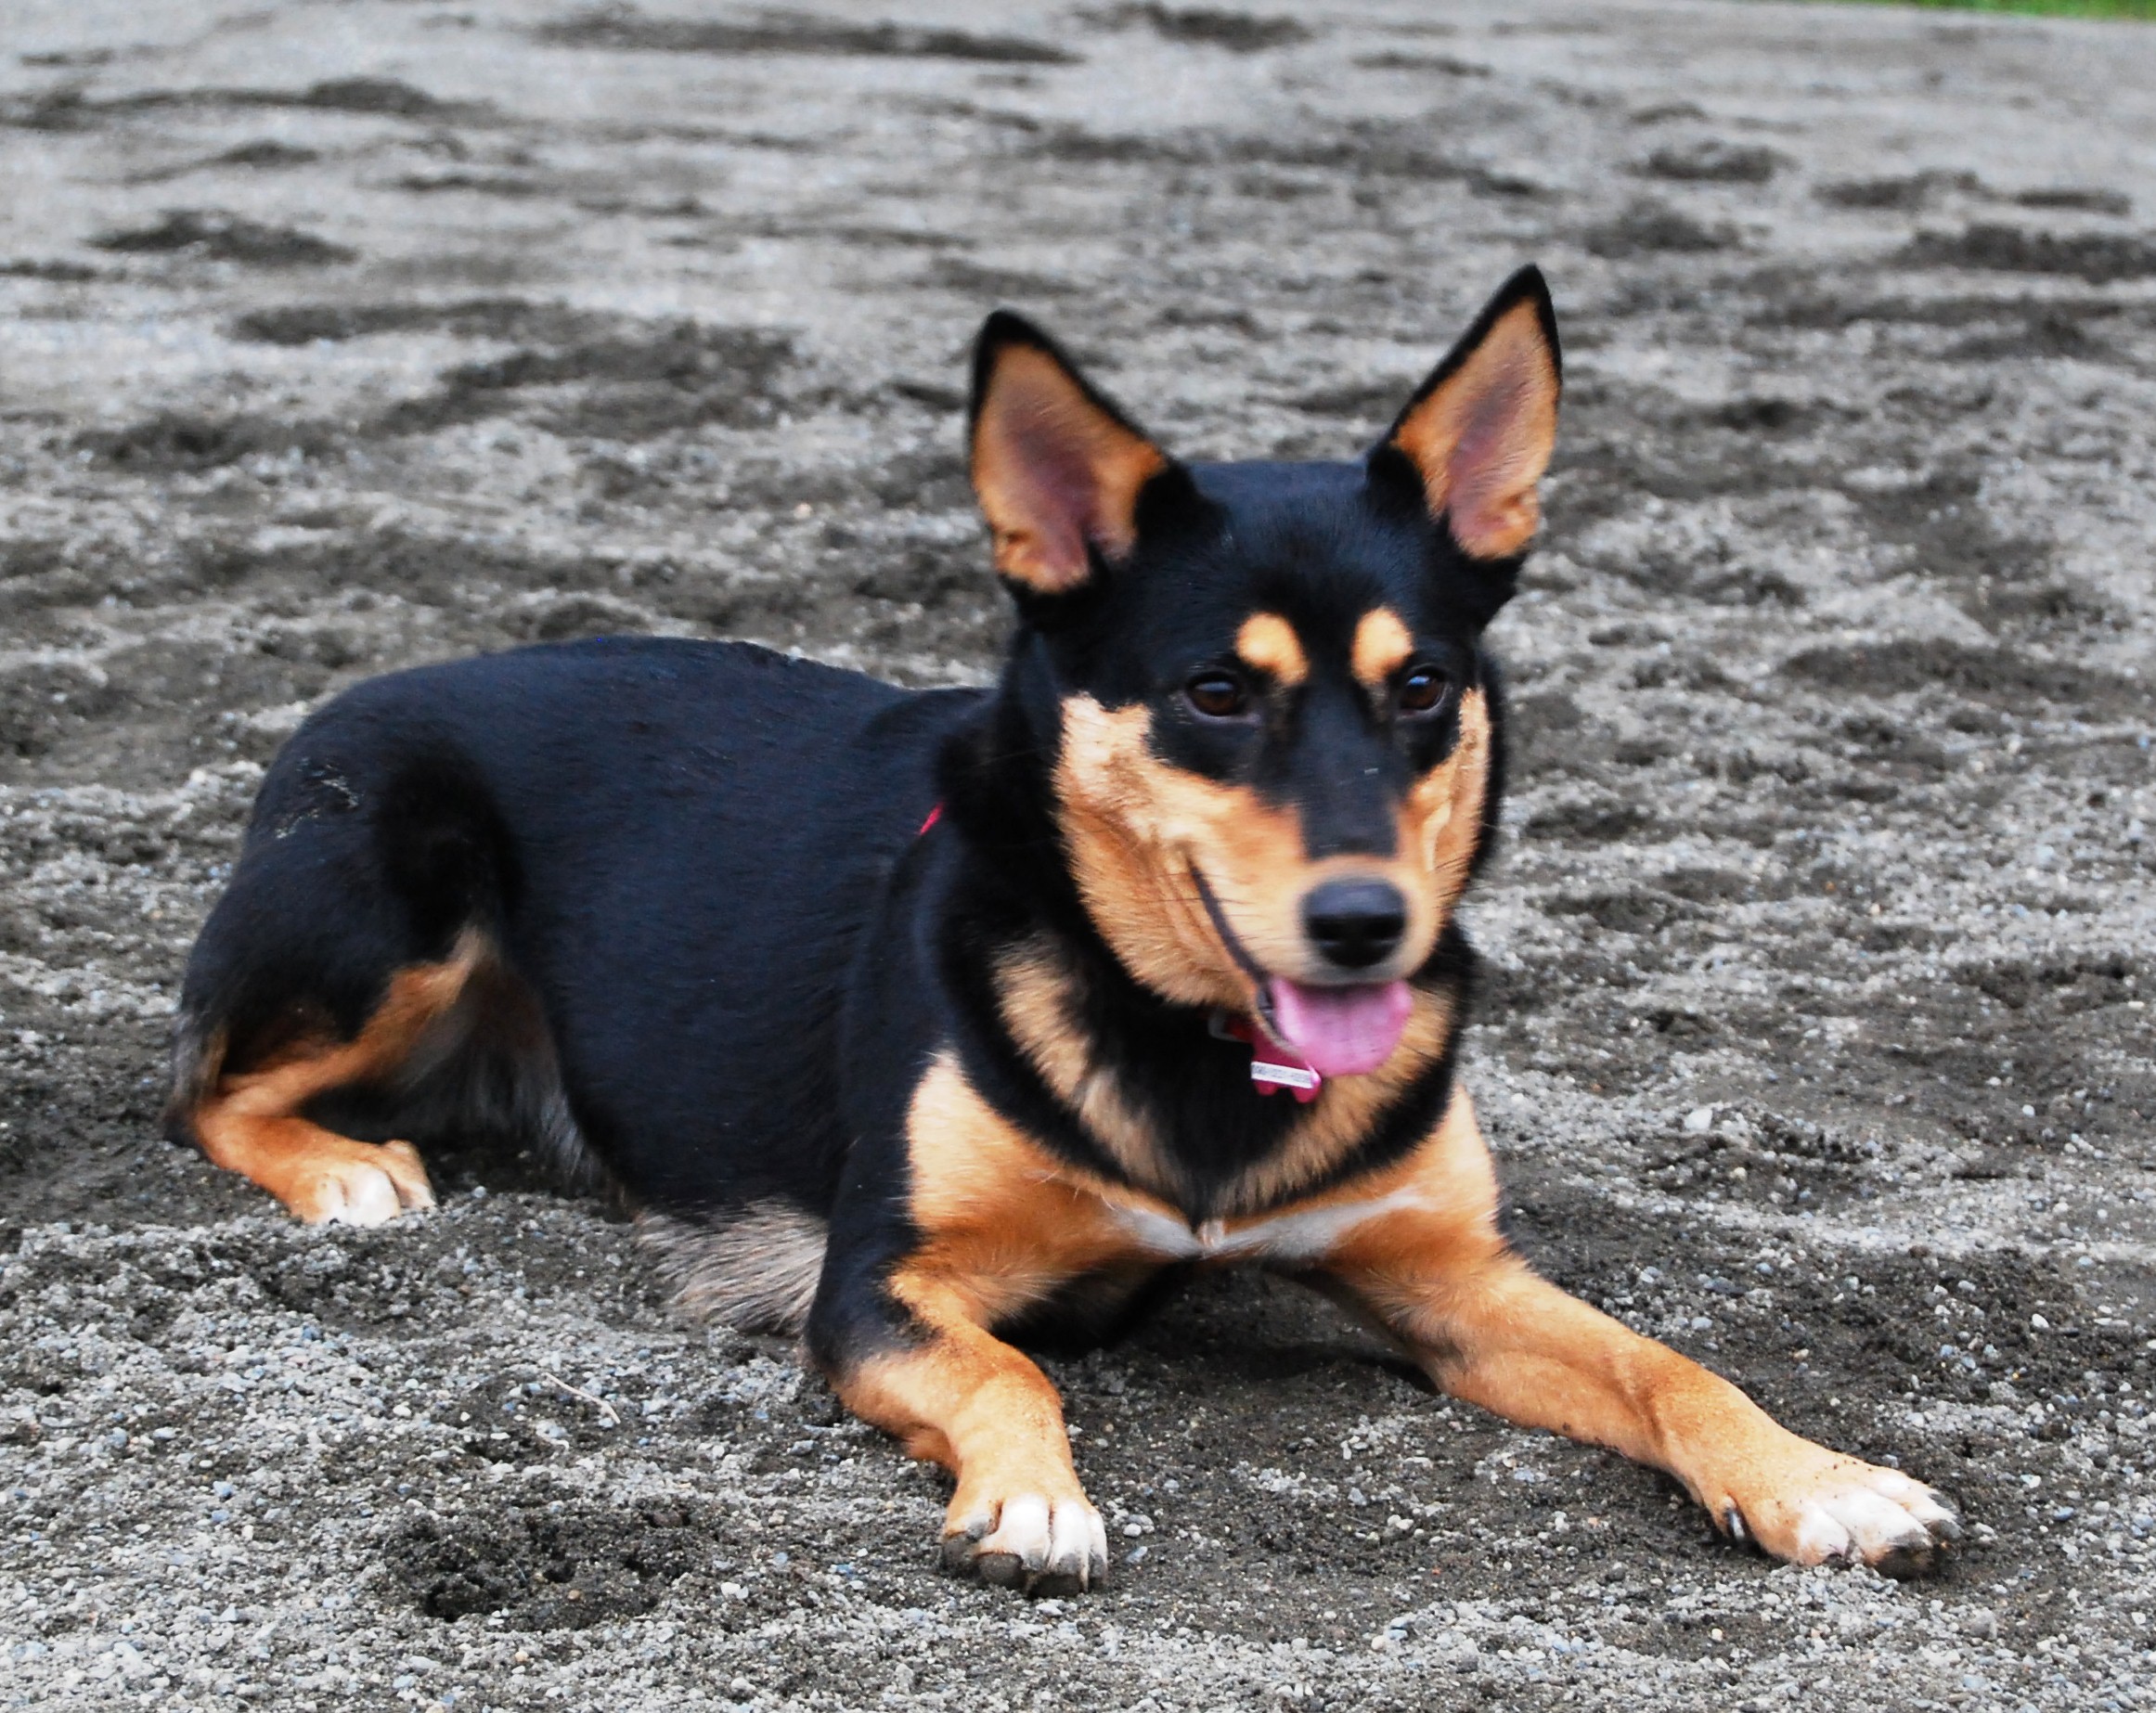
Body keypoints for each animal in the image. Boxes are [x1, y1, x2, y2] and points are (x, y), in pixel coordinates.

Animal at [168, 268, 1957, 1594]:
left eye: (1422, 686)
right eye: (1214, 691)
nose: (1363, 925)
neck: (1194, 1042)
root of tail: (356, 693)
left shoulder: (1450, 1277)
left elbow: (1671, 1360)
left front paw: (1817, 1478)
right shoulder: (874, 1283)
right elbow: (1009, 1371)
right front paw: (1032, 1501)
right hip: (393, 911)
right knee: (199, 1086)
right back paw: (343, 1171)